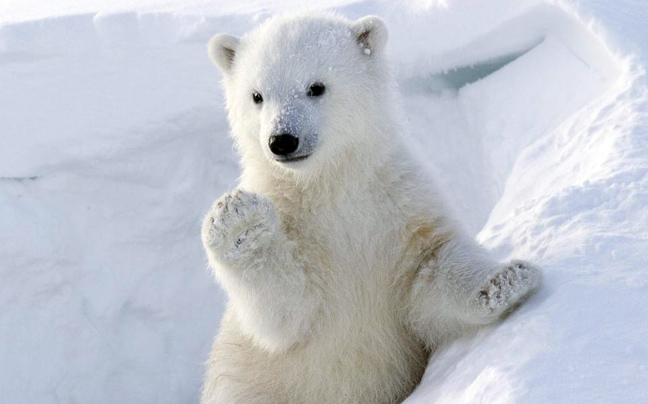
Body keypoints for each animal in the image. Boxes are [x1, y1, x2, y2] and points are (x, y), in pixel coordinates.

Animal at [199, 11, 540, 404]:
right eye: (256, 95)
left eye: (316, 87)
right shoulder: (294, 224)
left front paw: (506, 281)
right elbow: (286, 314)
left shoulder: (398, 200)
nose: (282, 140)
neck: (330, 185)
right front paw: (238, 222)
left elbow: (430, 268)